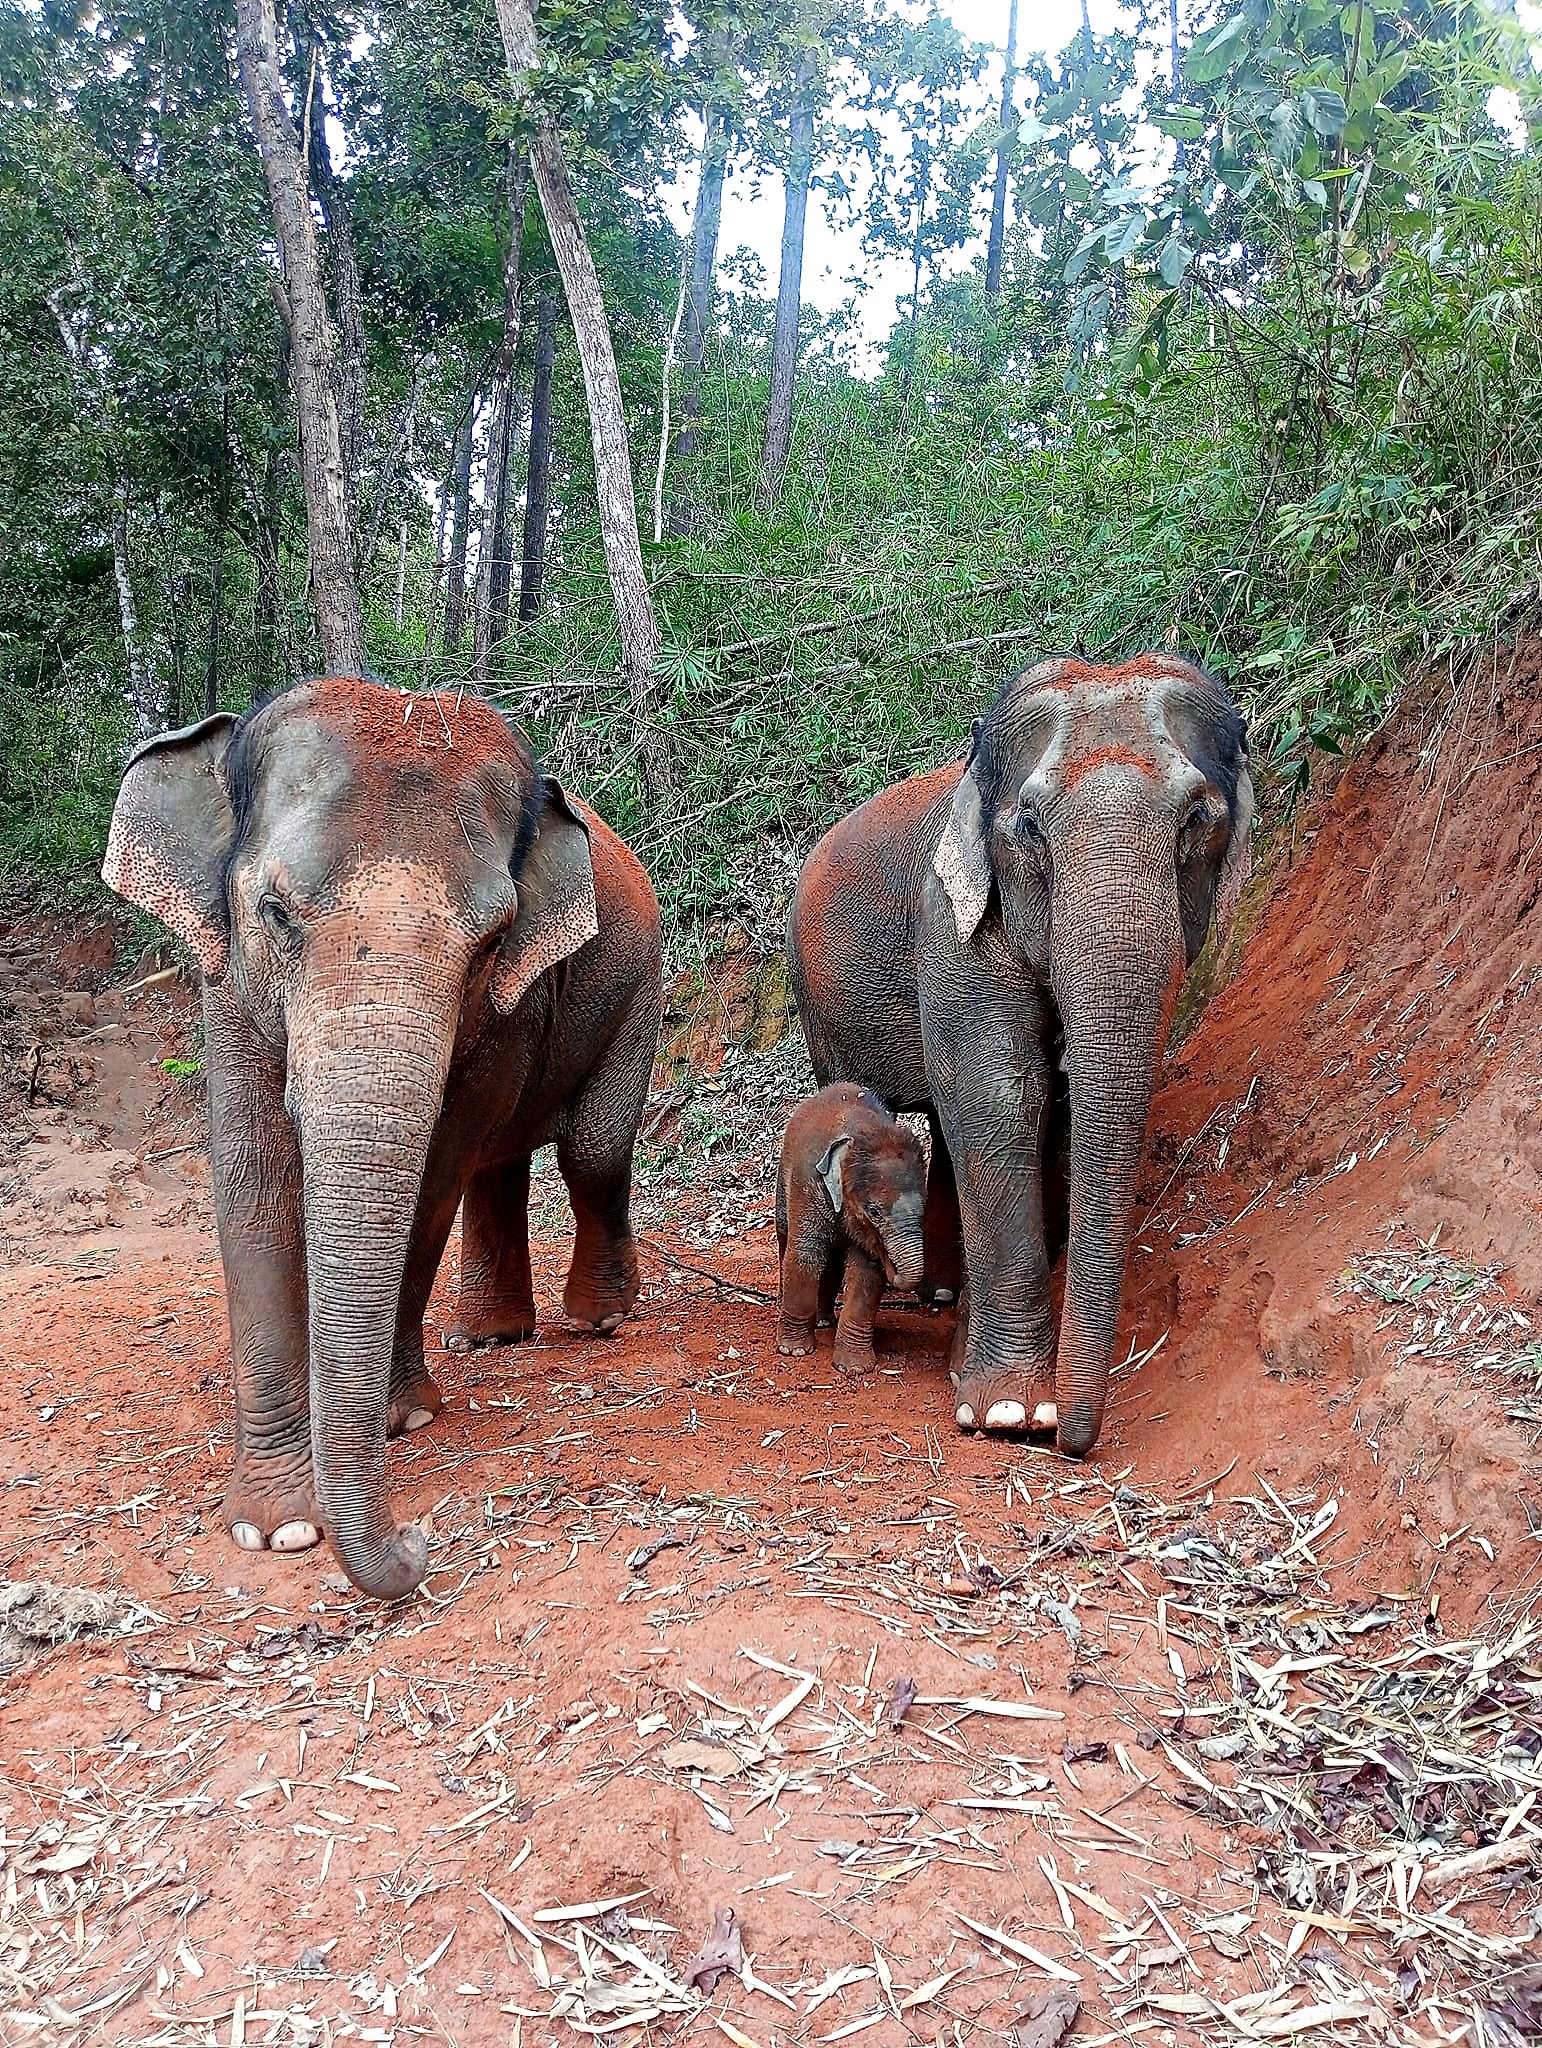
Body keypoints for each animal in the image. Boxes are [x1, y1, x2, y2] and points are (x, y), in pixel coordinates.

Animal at [102, 675, 663, 1599]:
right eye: (275, 913)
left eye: (492, 942)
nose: (417, 1541)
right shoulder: (228, 983)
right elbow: (254, 1184)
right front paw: (277, 1527)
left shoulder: (505, 1005)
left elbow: (434, 1177)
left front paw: (402, 1419)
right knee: (504, 1162)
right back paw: (488, 1336)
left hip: (640, 987)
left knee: (590, 1152)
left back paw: (601, 1321)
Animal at [776, 1083, 927, 1375]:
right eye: (874, 1212)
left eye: (925, 1208)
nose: (888, 1258)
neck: (862, 1131)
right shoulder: (808, 1183)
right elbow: (804, 1256)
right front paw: (795, 1351)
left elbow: (866, 1272)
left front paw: (855, 1368)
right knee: (786, 1237)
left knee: (833, 1263)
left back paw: (825, 1321)